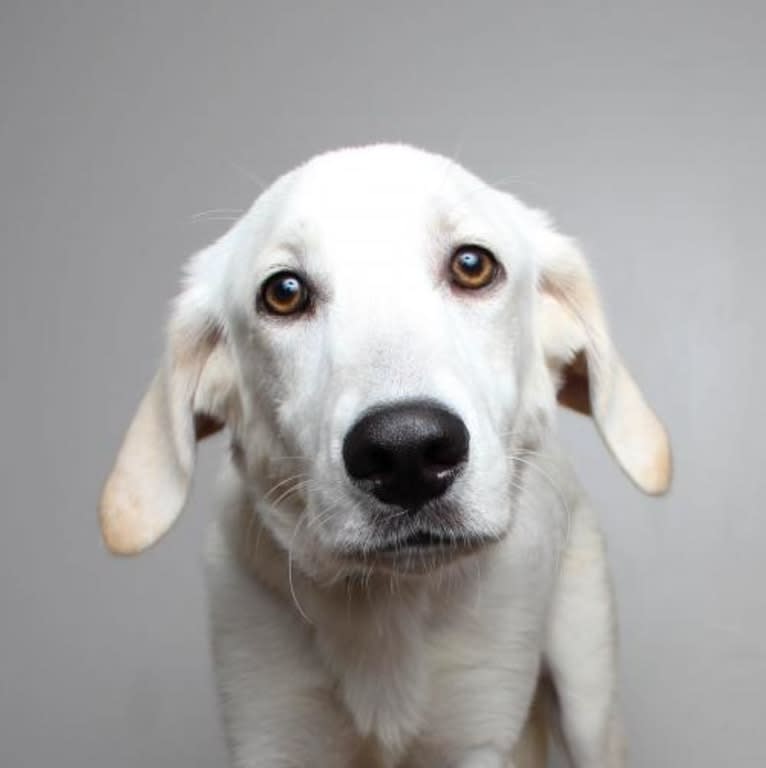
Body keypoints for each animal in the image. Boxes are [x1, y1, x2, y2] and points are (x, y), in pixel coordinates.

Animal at [99, 146, 668, 768]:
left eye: (473, 264)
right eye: (284, 292)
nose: (407, 452)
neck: (385, 607)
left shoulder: (476, 739)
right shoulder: (270, 732)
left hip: (589, 702)